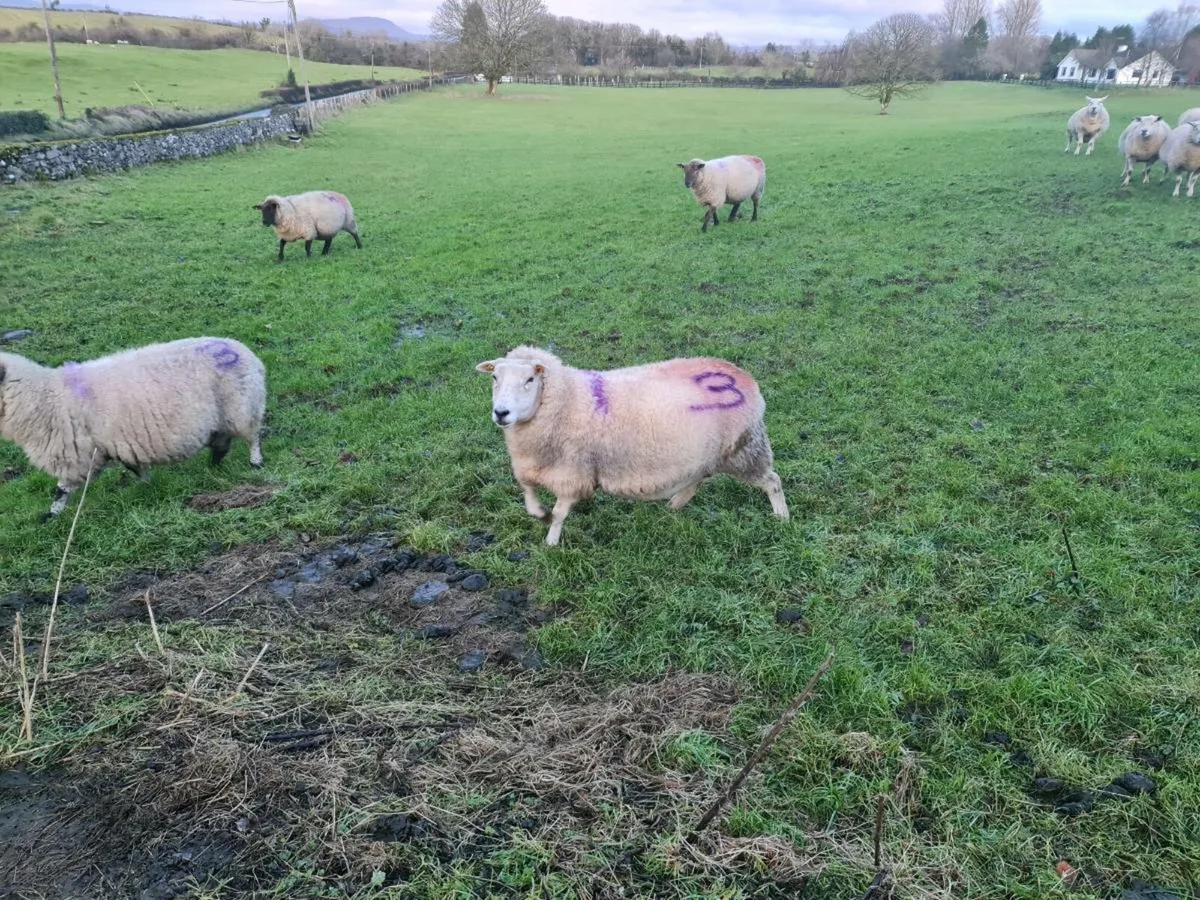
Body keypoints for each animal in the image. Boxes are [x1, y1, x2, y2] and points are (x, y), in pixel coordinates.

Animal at [0, 337, 266, 517]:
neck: (45, 397)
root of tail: (247, 353)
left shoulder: (77, 454)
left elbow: (62, 489)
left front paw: (52, 514)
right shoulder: (113, 445)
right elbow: (135, 468)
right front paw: (146, 485)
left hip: (241, 407)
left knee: (252, 436)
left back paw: (255, 462)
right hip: (223, 416)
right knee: (222, 443)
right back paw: (213, 467)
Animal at [476, 345, 789, 546]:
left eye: (530, 379)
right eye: (494, 377)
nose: (501, 413)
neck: (566, 400)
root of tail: (745, 377)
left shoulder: (574, 472)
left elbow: (561, 512)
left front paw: (551, 541)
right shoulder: (530, 467)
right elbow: (529, 499)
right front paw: (541, 515)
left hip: (744, 449)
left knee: (772, 481)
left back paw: (782, 517)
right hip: (708, 455)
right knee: (695, 483)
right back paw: (673, 506)